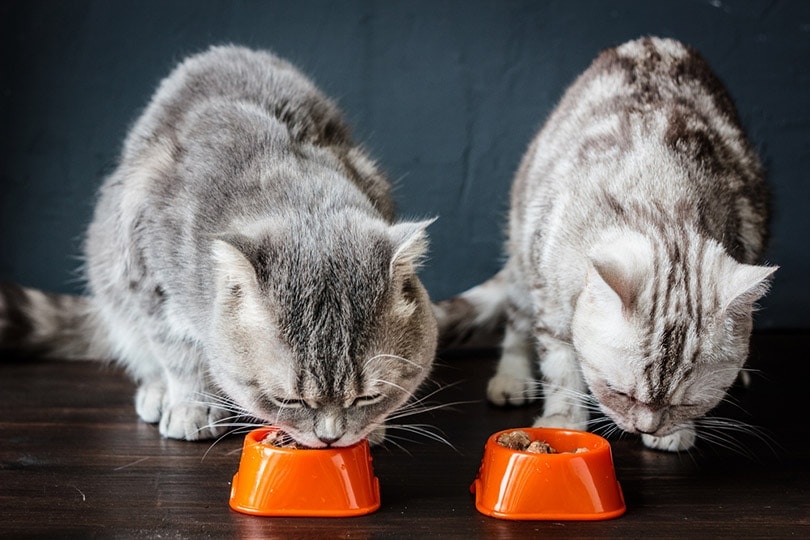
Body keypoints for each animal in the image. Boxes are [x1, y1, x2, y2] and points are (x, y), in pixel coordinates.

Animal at [0, 44, 438, 446]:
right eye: (287, 400)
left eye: (369, 397)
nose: (330, 438)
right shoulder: (149, 278)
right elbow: (179, 353)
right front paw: (193, 404)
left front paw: (373, 427)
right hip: (115, 287)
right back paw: (158, 392)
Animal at [438, 37, 772, 452]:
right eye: (619, 392)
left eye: (687, 403)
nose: (647, 428)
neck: (661, 193)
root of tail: (653, 39)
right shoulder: (550, 291)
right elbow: (560, 365)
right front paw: (563, 418)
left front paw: (676, 432)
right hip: (522, 242)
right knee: (516, 322)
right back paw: (512, 377)